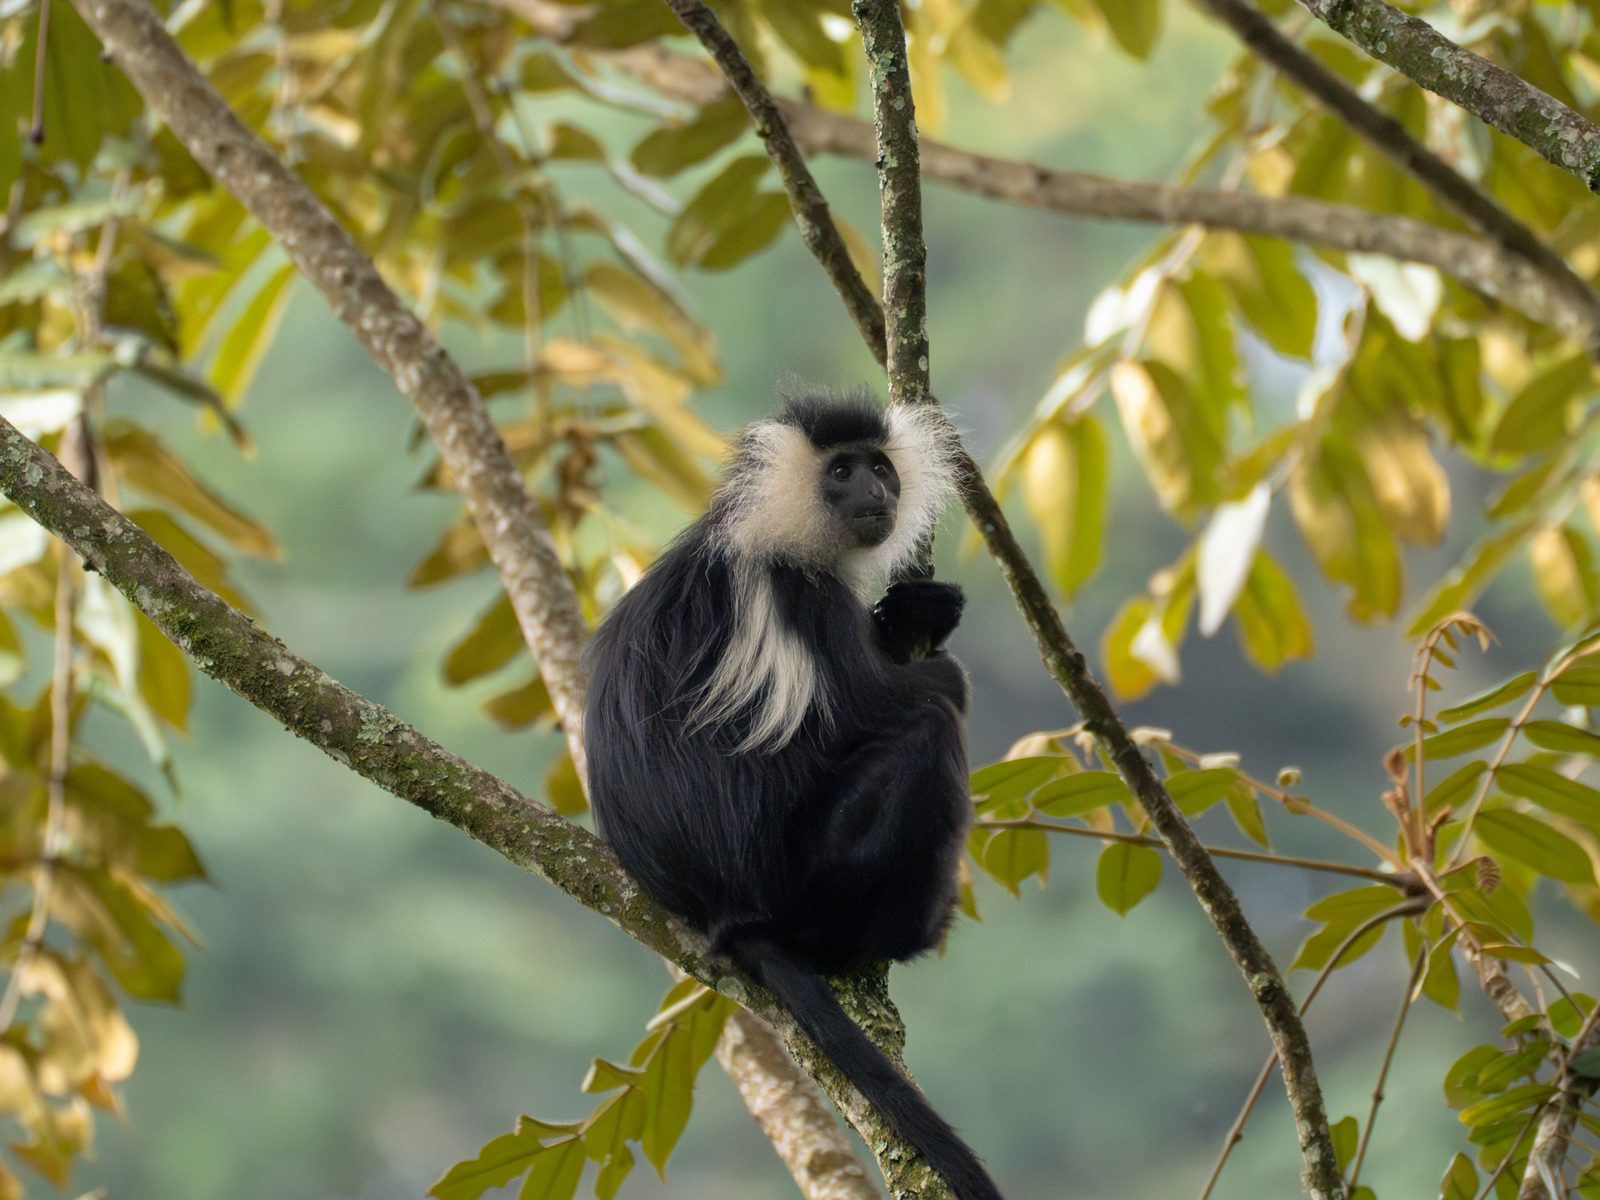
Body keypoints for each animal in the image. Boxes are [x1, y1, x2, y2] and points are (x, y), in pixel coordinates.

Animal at [585, 391, 1004, 1200]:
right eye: (841, 472)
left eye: (878, 466)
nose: (876, 491)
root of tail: (730, 909)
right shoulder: (795, 597)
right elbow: (876, 705)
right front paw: (931, 651)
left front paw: (916, 609)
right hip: (812, 869)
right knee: (926, 732)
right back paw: (906, 930)